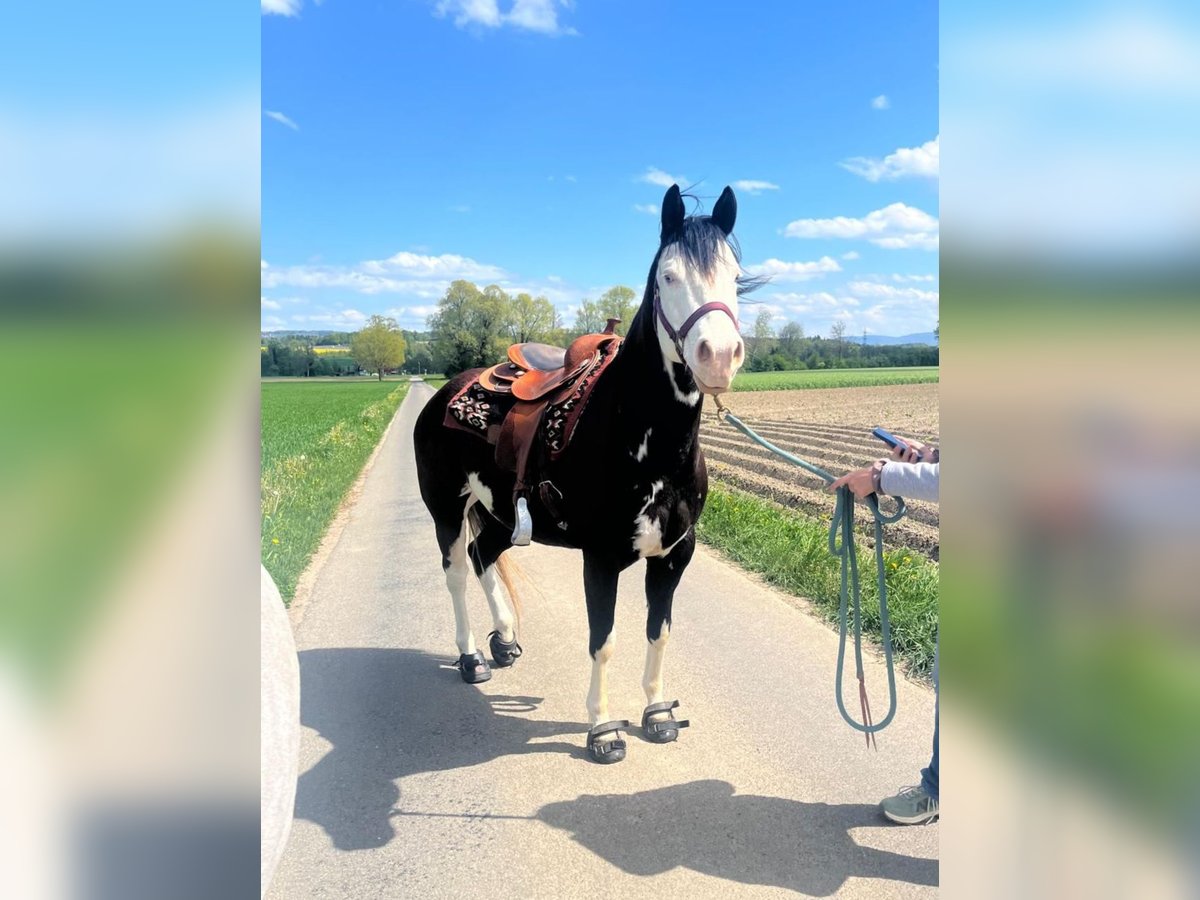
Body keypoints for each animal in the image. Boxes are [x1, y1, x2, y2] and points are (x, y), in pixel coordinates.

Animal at [413, 183, 754, 763]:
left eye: (734, 277)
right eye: (669, 276)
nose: (719, 356)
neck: (646, 446)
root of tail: (444, 394)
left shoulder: (675, 554)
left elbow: (658, 632)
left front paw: (657, 713)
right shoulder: (601, 558)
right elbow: (604, 640)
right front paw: (602, 729)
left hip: (503, 516)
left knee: (483, 557)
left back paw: (504, 640)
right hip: (446, 510)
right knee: (457, 571)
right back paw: (471, 658)